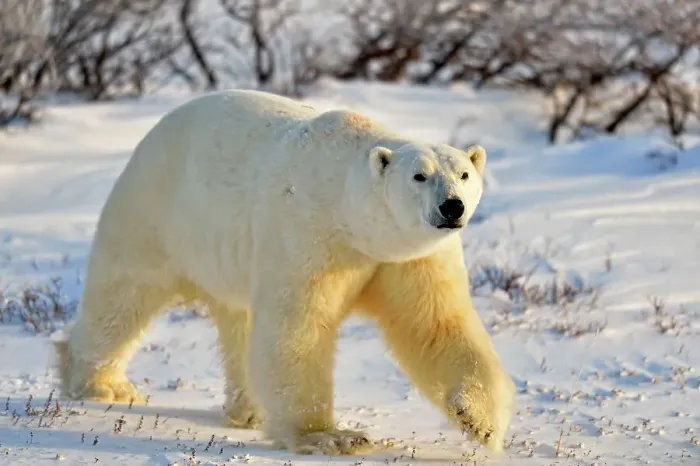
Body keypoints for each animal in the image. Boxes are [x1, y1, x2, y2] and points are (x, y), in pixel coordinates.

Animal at [53, 89, 515, 456]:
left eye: (464, 173)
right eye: (420, 175)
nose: (452, 206)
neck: (352, 216)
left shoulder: (407, 259)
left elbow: (436, 325)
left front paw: (481, 421)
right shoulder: (309, 233)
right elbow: (299, 328)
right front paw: (331, 436)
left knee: (238, 322)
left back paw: (249, 411)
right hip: (155, 211)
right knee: (124, 295)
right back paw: (103, 384)